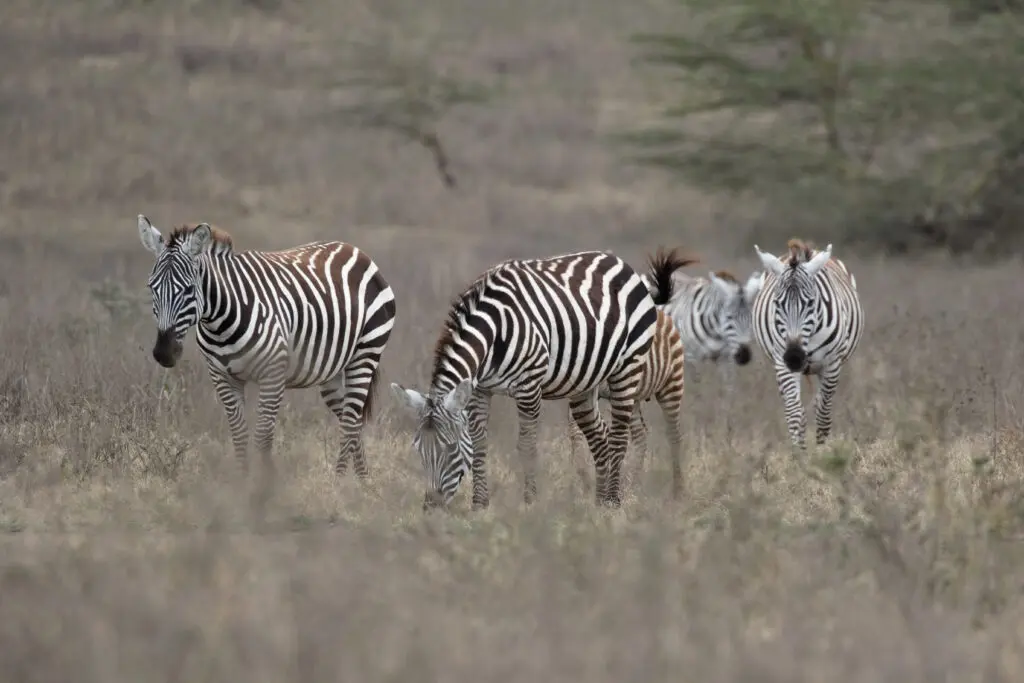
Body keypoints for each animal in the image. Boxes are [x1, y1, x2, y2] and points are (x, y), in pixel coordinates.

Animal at [136, 214, 397, 481]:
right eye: (151, 287)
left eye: (189, 289)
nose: (163, 353)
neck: (220, 322)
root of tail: (355, 250)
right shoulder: (221, 377)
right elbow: (239, 433)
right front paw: (242, 481)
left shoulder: (272, 373)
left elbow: (263, 436)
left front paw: (265, 485)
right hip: (333, 371)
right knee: (351, 420)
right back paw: (362, 482)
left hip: (365, 353)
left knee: (350, 420)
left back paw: (340, 482)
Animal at [390, 249, 676, 510]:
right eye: (418, 450)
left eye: (450, 449)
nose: (431, 508)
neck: (493, 333)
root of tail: (620, 262)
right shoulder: (481, 390)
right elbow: (479, 443)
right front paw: (480, 505)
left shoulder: (529, 388)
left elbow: (527, 445)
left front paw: (530, 503)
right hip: (585, 385)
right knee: (601, 437)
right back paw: (598, 503)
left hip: (627, 369)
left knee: (619, 436)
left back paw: (613, 502)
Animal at [751, 239, 864, 448]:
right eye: (777, 304)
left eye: (811, 303)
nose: (794, 358)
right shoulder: (782, 363)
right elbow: (795, 415)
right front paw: (799, 455)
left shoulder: (831, 365)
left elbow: (823, 416)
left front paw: (822, 452)